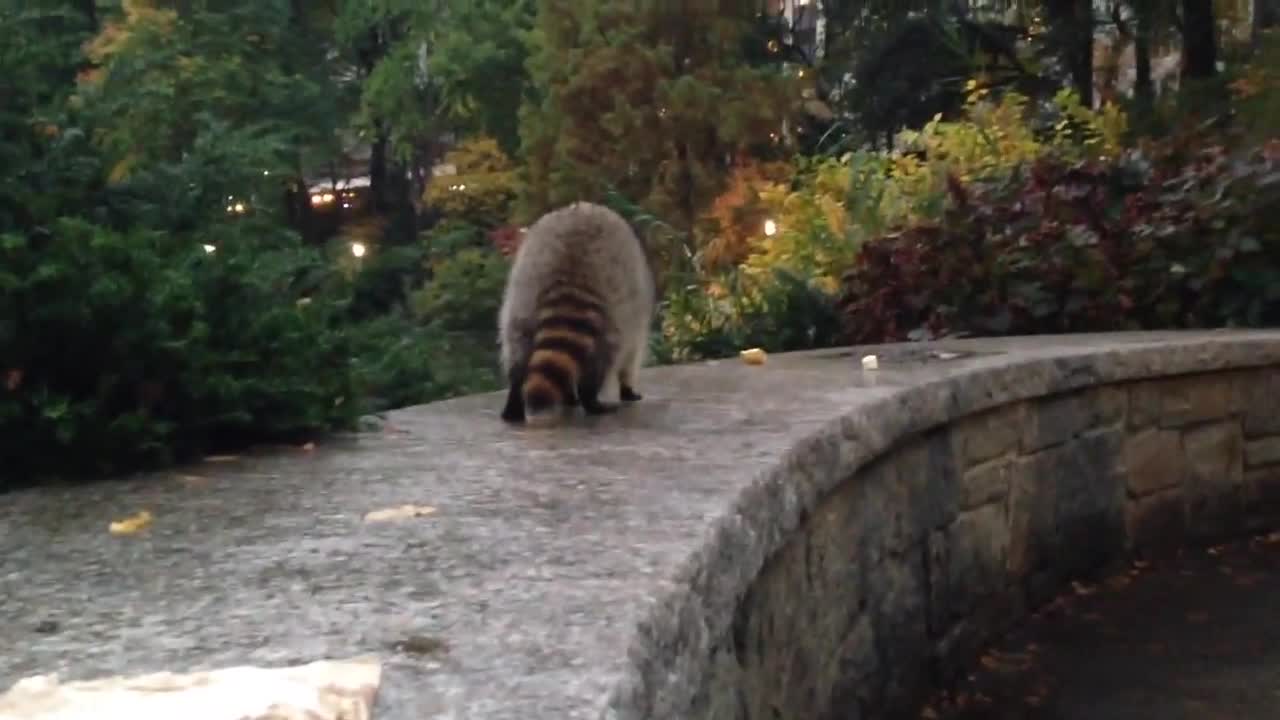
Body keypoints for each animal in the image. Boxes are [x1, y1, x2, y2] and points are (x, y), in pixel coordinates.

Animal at [499, 198, 660, 422]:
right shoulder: (636, 324)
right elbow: (630, 360)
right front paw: (627, 388)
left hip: (522, 294)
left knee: (518, 352)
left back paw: (515, 396)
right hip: (615, 311)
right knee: (604, 358)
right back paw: (590, 399)